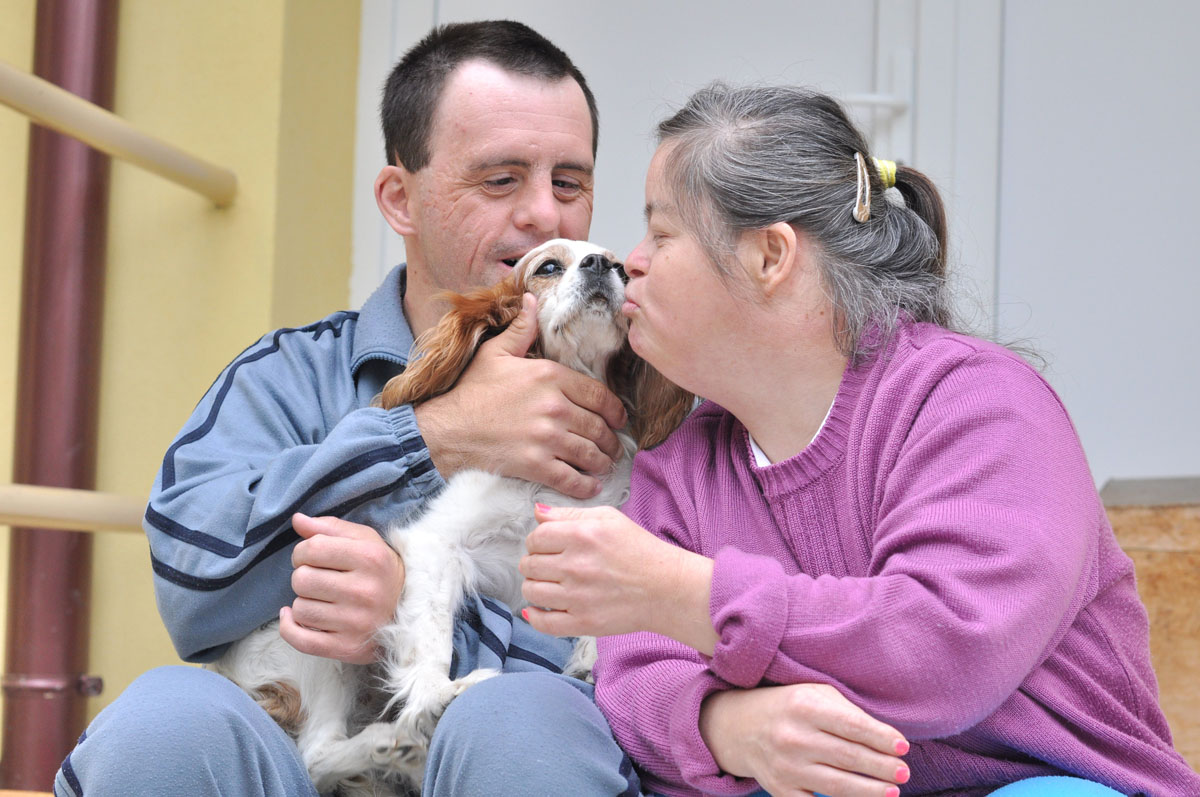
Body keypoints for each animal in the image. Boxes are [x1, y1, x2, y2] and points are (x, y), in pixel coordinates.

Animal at [211, 240, 691, 792]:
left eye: (623, 272)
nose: (601, 267)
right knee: (315, 755)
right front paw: (435, 696)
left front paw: (592, 655)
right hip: (312, 641)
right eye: (548, 267)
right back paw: (398, 738)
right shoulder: (437, 545)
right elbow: (433, 635)